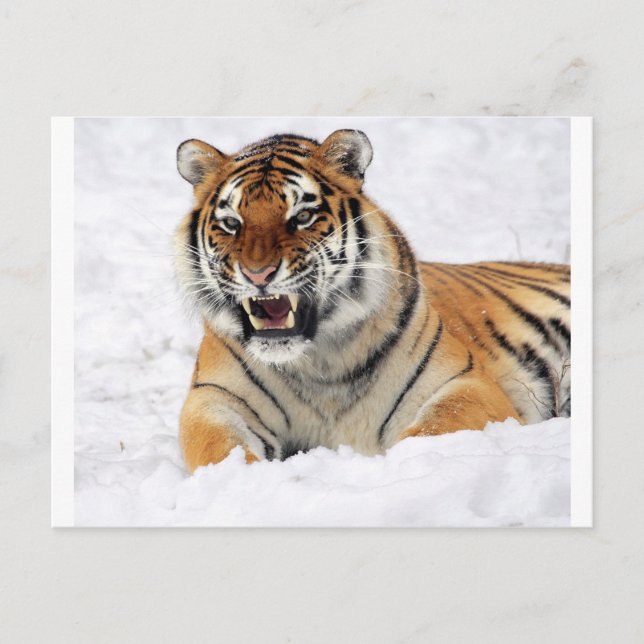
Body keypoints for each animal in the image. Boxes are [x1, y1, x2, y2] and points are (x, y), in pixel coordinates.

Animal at [174, 129, 571, 473]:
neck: (318, 364)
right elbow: (218, 448)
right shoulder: (213, 398)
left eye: (302, 216)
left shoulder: (464, 382)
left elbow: (435, 428)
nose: (258, 274)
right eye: (231, 223)